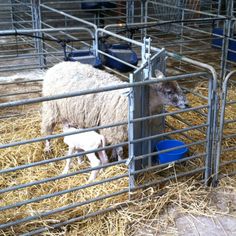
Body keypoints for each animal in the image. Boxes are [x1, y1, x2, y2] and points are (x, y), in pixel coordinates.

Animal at [41, 61, 188, 156]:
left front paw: (111, 155)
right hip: (51, 108)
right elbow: (119, 150)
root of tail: (57, 65)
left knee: (65, 125)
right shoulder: (115, 129)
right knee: (47, 129)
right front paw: (118, 161)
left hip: (65, 110)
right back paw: (48, 149)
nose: (187, 104)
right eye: (169, 91)